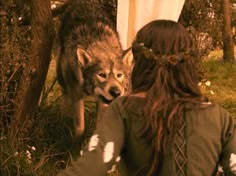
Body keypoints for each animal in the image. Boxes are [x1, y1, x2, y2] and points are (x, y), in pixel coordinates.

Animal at [56, 0, 132, 137]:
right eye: (102, 75)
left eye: (119, 75)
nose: (116, 93)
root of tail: (82, 2)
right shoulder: (76, 94)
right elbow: (80, 127)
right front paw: (76, 141)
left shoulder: (103, 103)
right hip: (62, 78)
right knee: (65, 98)